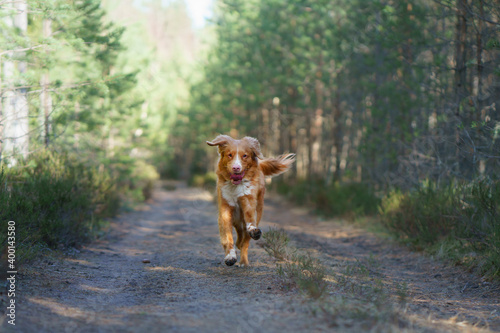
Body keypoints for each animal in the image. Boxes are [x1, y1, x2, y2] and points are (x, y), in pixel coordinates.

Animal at [206, 134, 294, 266]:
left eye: (245, 155)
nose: (236, 167)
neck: (235, 187)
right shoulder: (225, 210)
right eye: (230, 155)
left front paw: (253, 230)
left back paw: (244, 261)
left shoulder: (248, 201)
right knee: (240, 235)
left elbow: (250, 220)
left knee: (245, 240)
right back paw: (238, 246)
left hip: (257, 210)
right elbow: (227, 237)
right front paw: (230, 256)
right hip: (236, 218)